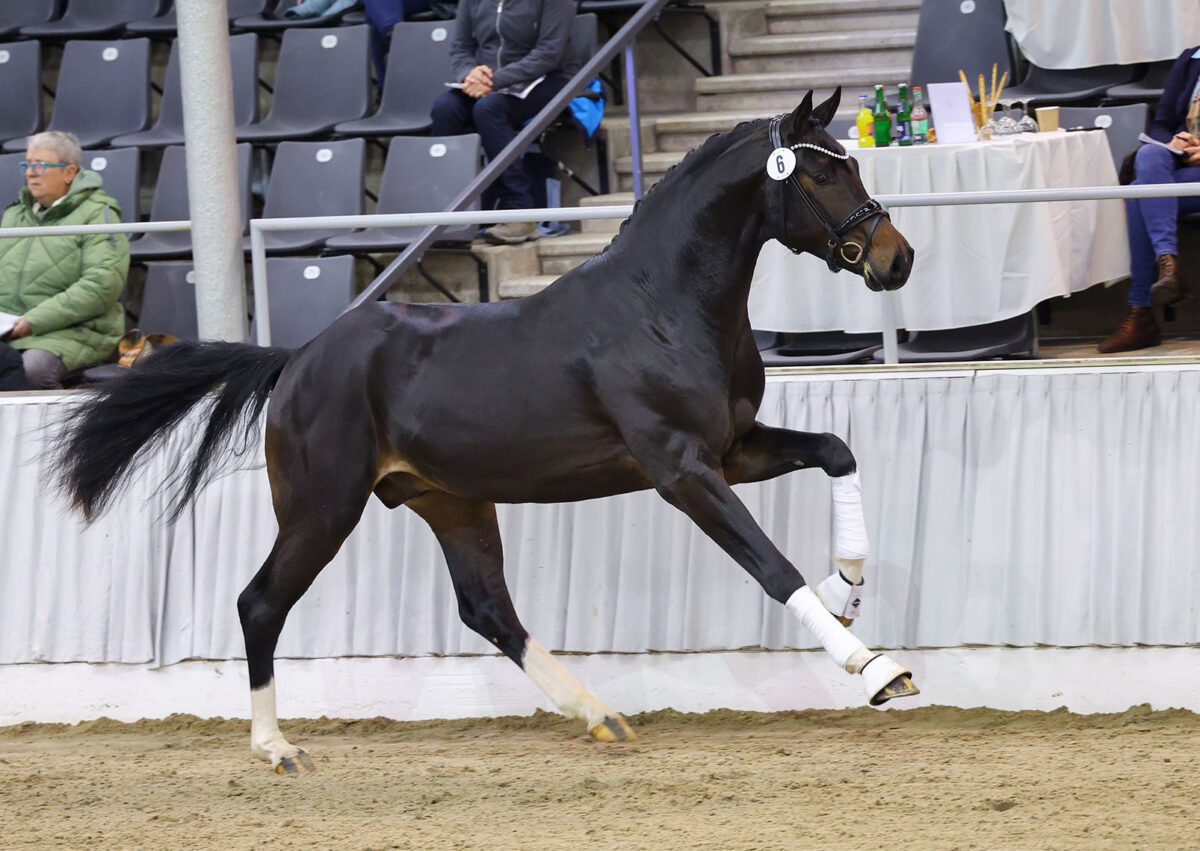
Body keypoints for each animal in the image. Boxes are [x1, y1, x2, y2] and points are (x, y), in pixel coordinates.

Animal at [51, 89, 916, 772]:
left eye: (852, 163)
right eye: (824, 171)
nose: (896, 258)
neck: (659, 305)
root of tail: (295, 358)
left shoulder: (731, 449)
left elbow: (837, 452)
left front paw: (847, 588)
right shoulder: (680, 469)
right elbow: (771, 566)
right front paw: (878, 670)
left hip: (450, 500)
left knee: (487, 608)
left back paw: (599, 715)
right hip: (323, 508)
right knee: (260, 602)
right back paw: (277, 748)